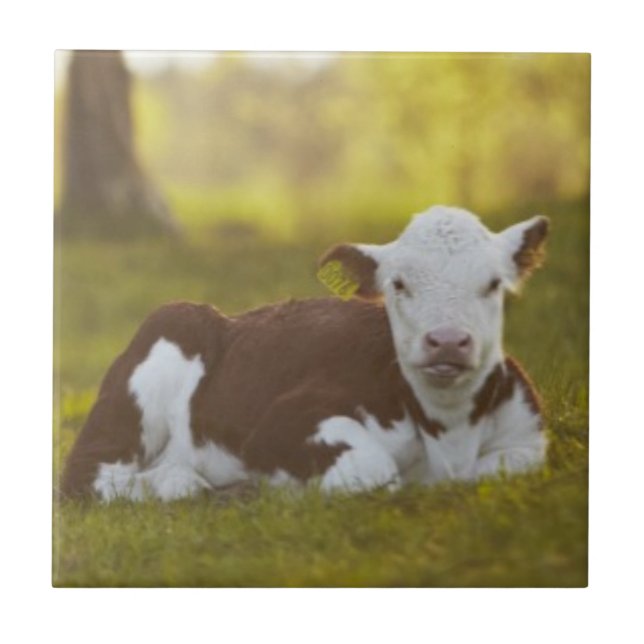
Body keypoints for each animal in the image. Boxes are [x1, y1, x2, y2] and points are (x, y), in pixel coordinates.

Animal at [60, 205, 549, 501]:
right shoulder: (282, 422)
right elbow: (373, 470)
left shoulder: (529, 437)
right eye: (398, 284)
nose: (446, 340)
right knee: (90, 477)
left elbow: (508, 467)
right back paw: (191, 483)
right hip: (161, 346)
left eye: (493, 283)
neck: (449, 436)